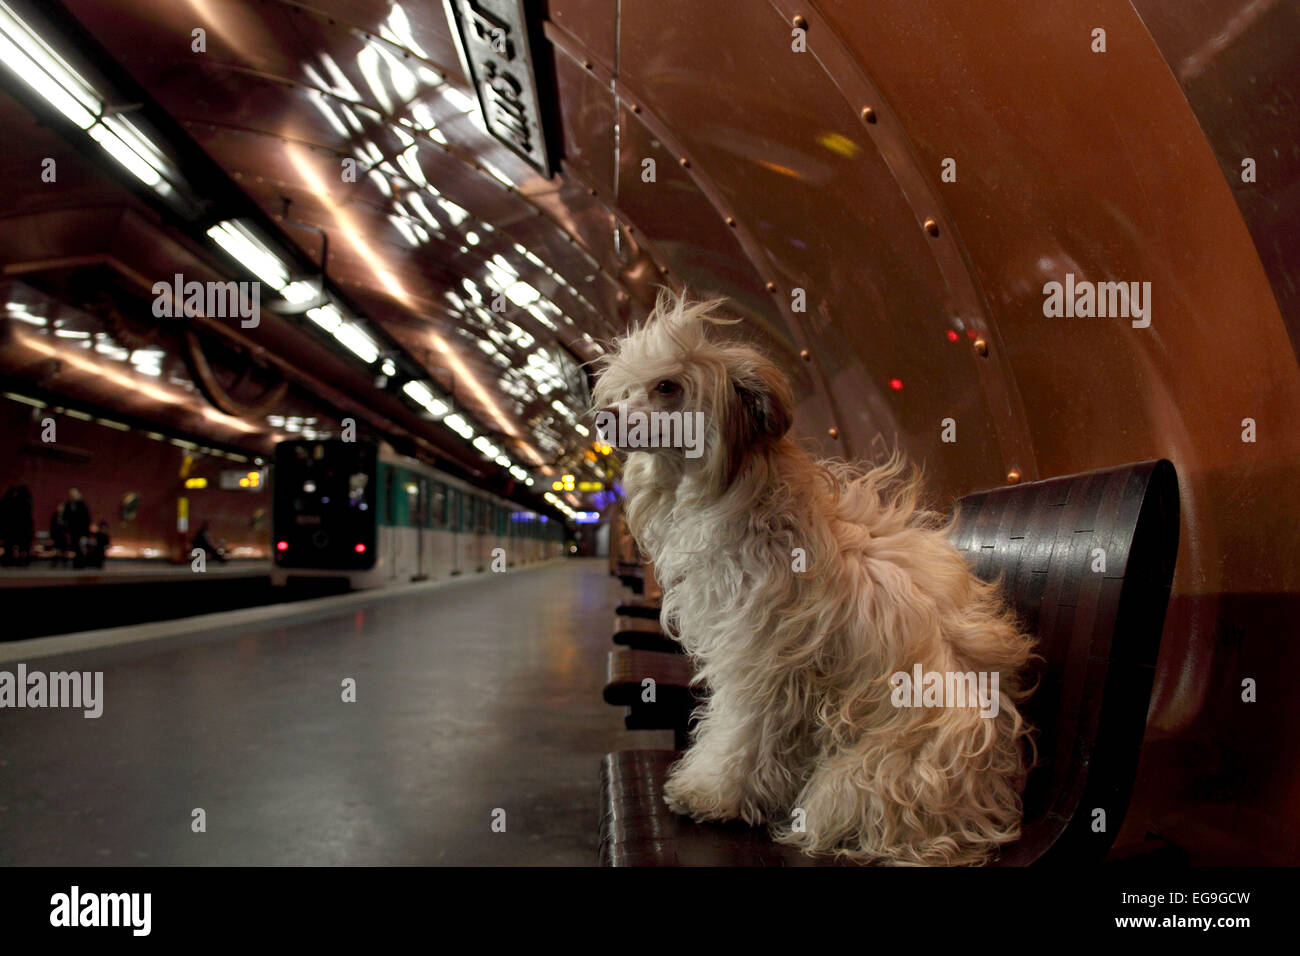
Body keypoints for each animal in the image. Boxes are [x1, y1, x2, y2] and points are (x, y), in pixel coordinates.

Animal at [595, 291, 1034, 868]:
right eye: (625, 389)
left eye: (667, 386)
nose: (603, 418)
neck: (744, 498)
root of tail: (981, 812)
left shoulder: (761, 665)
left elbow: (740, 736)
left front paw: (712, 792)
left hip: (867, 772)